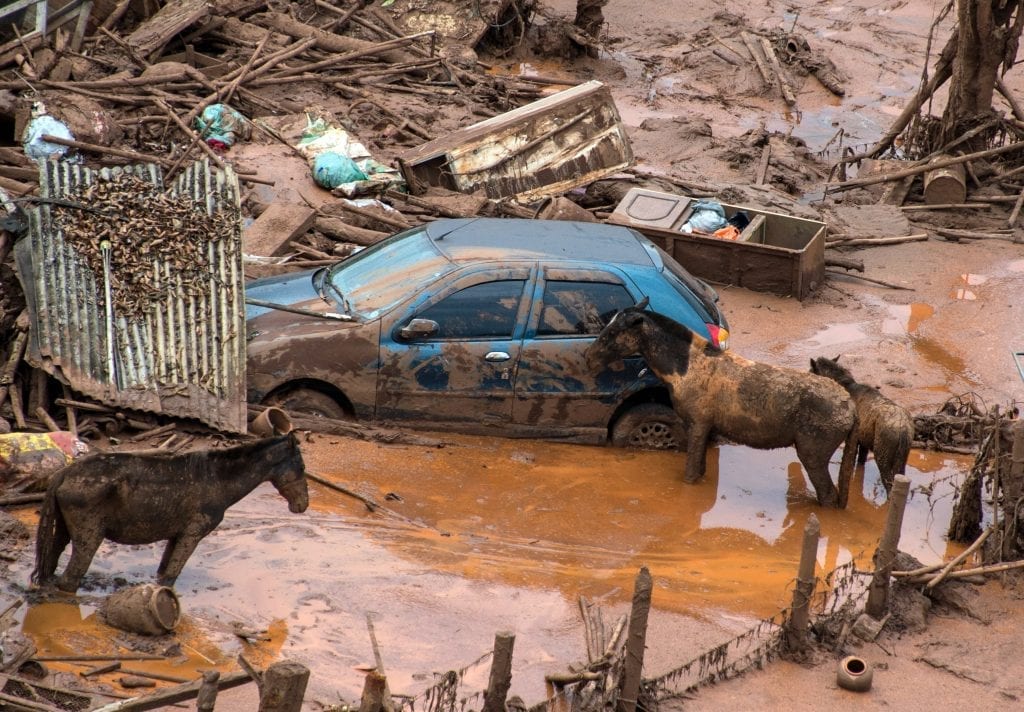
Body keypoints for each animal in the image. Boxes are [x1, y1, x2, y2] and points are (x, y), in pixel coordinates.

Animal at [34, 432, 309, 594]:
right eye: (301, 467)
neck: (219, 479)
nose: (303, 504)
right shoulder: (192, 534)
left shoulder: (176, 535)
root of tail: (64, 473)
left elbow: (163, 572)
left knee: (52, 561)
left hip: (63, 531)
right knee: (70, 578)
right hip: (89, 537)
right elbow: (171, 576)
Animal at [581, 299, 860, 506]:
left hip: (812, 456)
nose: (588, 357)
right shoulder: (705, 429)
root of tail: (851, 408)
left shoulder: (696, 425)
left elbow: (690, 474)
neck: (684, 369)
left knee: (829, 497)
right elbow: (700, 471)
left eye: (613, 332)